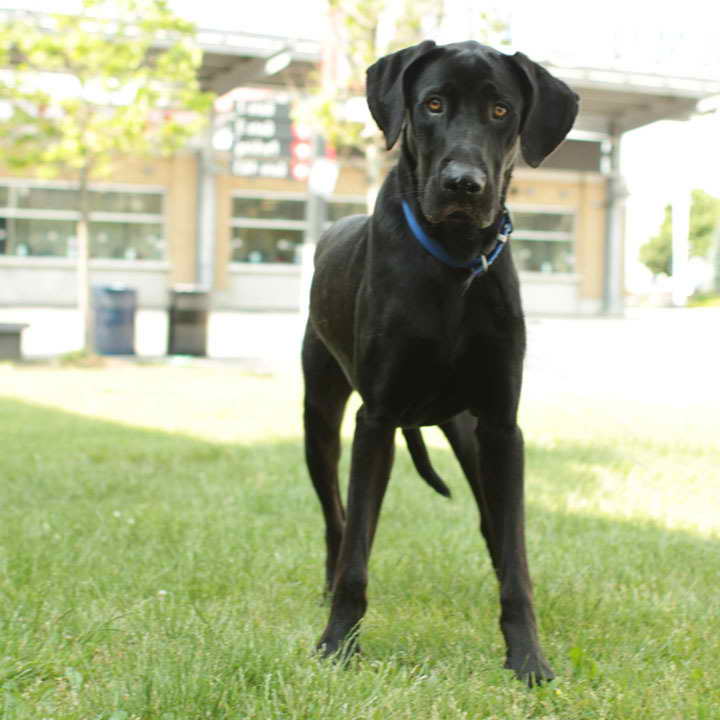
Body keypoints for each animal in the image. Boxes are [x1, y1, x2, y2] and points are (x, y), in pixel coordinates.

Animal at [300, 40, 576, 688]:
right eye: (432, 104)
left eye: (501, 110)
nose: (463, 185)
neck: (453, 262)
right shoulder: (375, 420)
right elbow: (357, 551)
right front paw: (337, 645)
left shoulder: (502, 425)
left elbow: (515, 557)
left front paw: (528, 658)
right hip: (318, 416)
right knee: (337, 518)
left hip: (470, 434)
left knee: (496, 529)